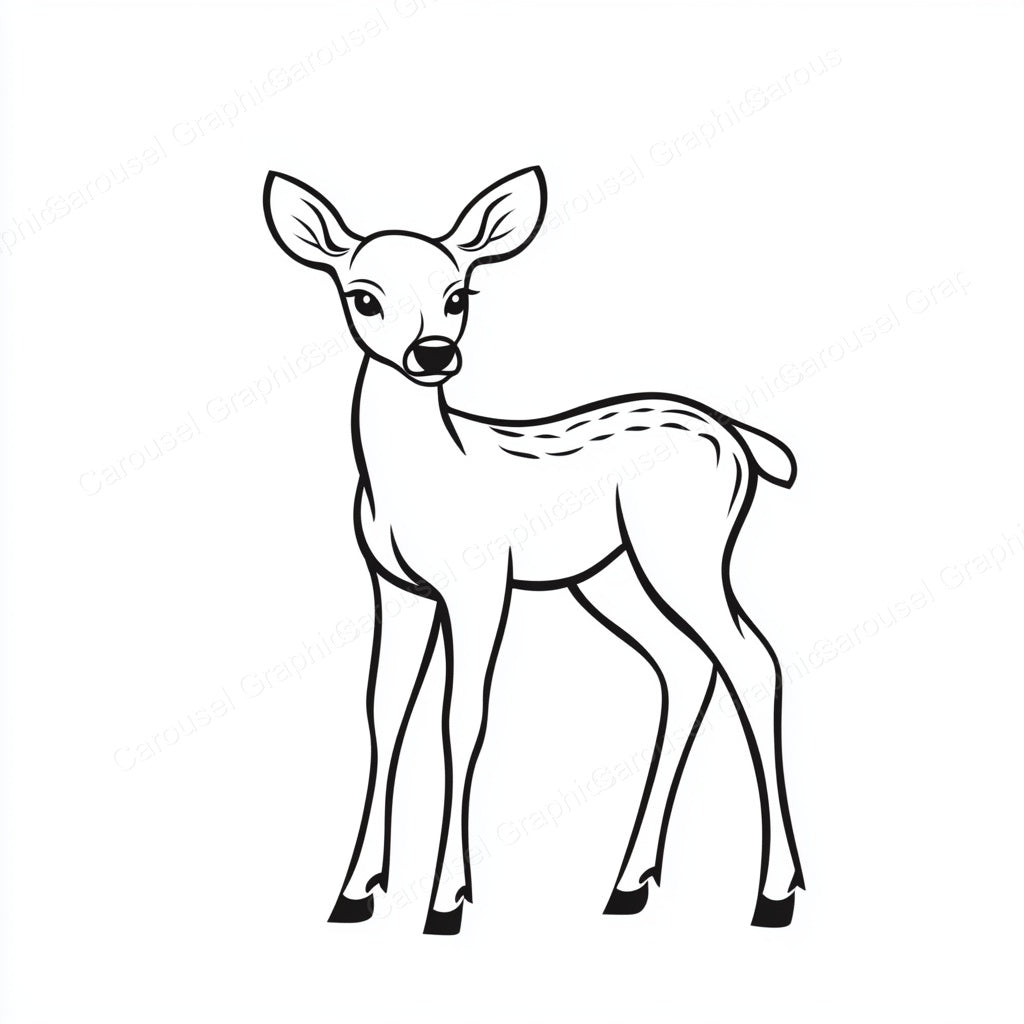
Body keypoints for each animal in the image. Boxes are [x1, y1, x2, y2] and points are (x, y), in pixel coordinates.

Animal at [263, 166, 805, 935]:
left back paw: (774, 894)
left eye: (459, 294)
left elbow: (461, 717)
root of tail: (741, 440)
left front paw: (447, 902)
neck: (426, 478)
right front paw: (354, 892)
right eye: (362, 297)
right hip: (612, 576)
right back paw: (628, 885)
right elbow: (383, 710)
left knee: (752, 659)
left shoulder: (481, 581)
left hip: (685, 549)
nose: (434, 353)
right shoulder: (394, 586)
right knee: (686, 667)